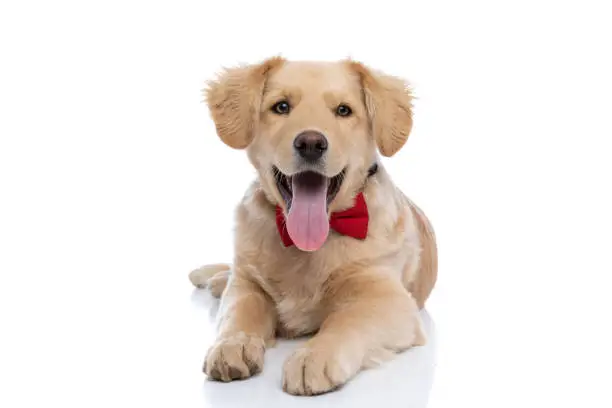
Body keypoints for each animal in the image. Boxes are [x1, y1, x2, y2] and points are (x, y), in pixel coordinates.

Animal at [189, 56, 438, 396]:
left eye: (344, 110)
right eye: (281, 106)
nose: (310, 143)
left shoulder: (390, 301)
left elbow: (347, 320)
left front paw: (315, 355)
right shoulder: (246, 283)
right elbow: (239, 309)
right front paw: (233, 344)